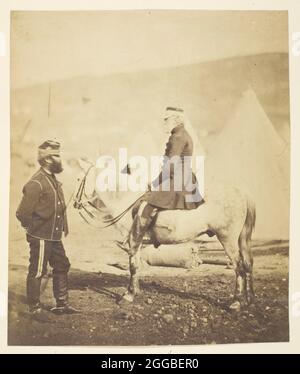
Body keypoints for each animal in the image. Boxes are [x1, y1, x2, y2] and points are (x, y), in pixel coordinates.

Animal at [73, 159, 255, 312]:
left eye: (78, 179)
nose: (75, 203)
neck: (126, 198)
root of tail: (241, 192)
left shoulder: (134, 240)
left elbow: (133, 266)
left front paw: (128, 295)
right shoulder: (138, 242)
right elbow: (136, 265)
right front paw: (135, 291)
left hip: (227, 239)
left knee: (238, 266)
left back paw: (236, 302)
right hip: (241, 239)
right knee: (247, 263)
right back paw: (249, 300)